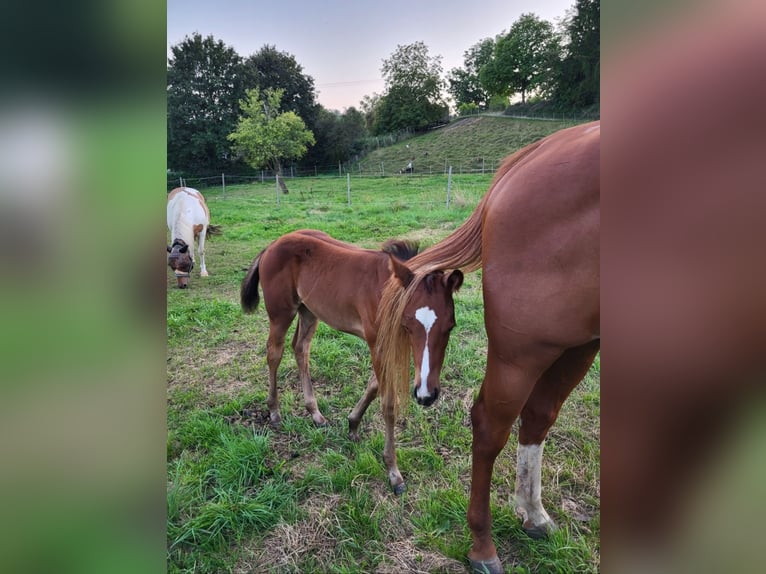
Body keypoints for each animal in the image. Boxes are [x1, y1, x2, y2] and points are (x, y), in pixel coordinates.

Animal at [240, 229, 463, 493]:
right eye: (409, 323)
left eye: (450, 325)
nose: (426, 396)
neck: (386, 292)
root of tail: (272, 245)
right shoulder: (379, 343)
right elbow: (388, 404)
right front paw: (393, 472)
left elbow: (374, 386)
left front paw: (353, 424)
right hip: (281, 313)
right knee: (274, 353)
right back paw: (274, 411)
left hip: (309, 310)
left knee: (301, 349)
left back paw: (315, 413)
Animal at [375, 121, 600, 573]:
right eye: (406, 326)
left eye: (451, 326)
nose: (425, 395)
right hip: (525, 348)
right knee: (492, 424)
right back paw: (484, 545)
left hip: (576, 343)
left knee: (538, 415)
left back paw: (533, 515)